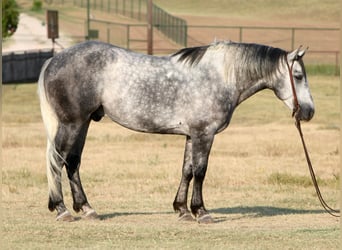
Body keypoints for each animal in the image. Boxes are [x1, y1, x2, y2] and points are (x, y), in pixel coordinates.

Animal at [38, 41, 314, 223]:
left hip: (83, 124)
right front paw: (201, 212)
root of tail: (54, 60)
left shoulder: (192, 134)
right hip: (72, 123)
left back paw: (86, 208)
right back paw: (62, 209)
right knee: (57, 161)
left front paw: (181, 209)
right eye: (299, 75)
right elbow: (201, 171)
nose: (309, 111)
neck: (219, 76)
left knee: (72, 163)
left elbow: (187, 170)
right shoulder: (204, 134)